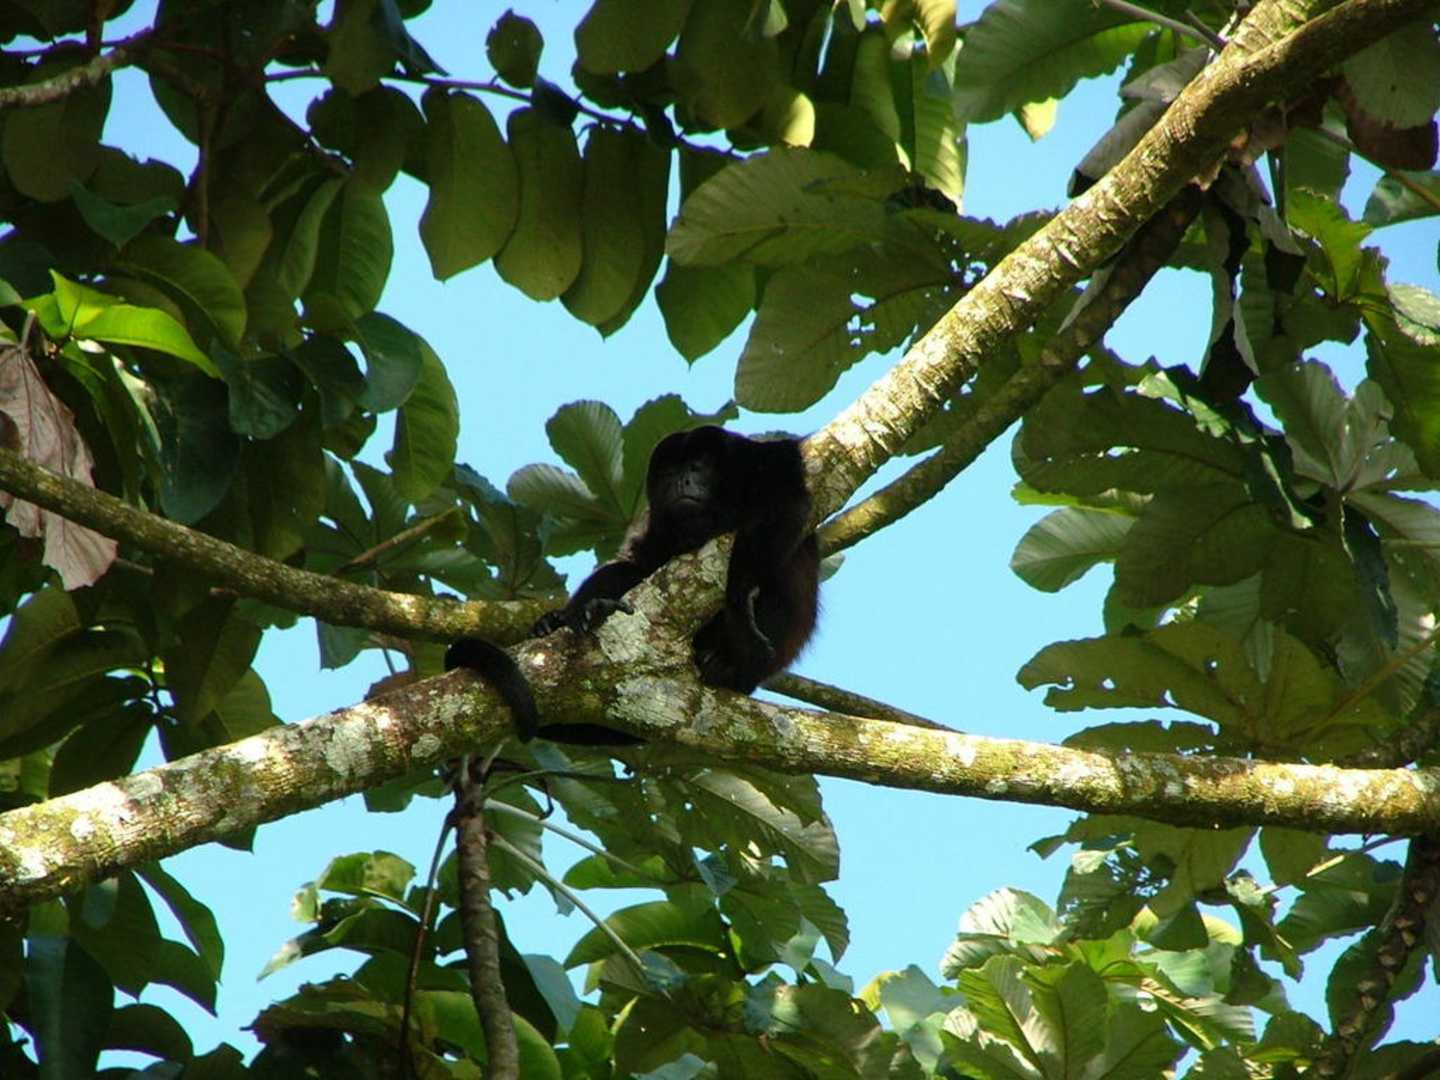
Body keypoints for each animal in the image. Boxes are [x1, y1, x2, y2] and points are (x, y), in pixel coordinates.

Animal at [445, 426, 820, 743]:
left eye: (697, 467)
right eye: (669, 473)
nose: (682, 480)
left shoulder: (764, 459)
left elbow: (789, 502)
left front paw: (741, 598)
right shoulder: (654, 524)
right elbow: (633, 564)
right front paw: (570, 613)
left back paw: (731, 661)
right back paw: (571, 617)